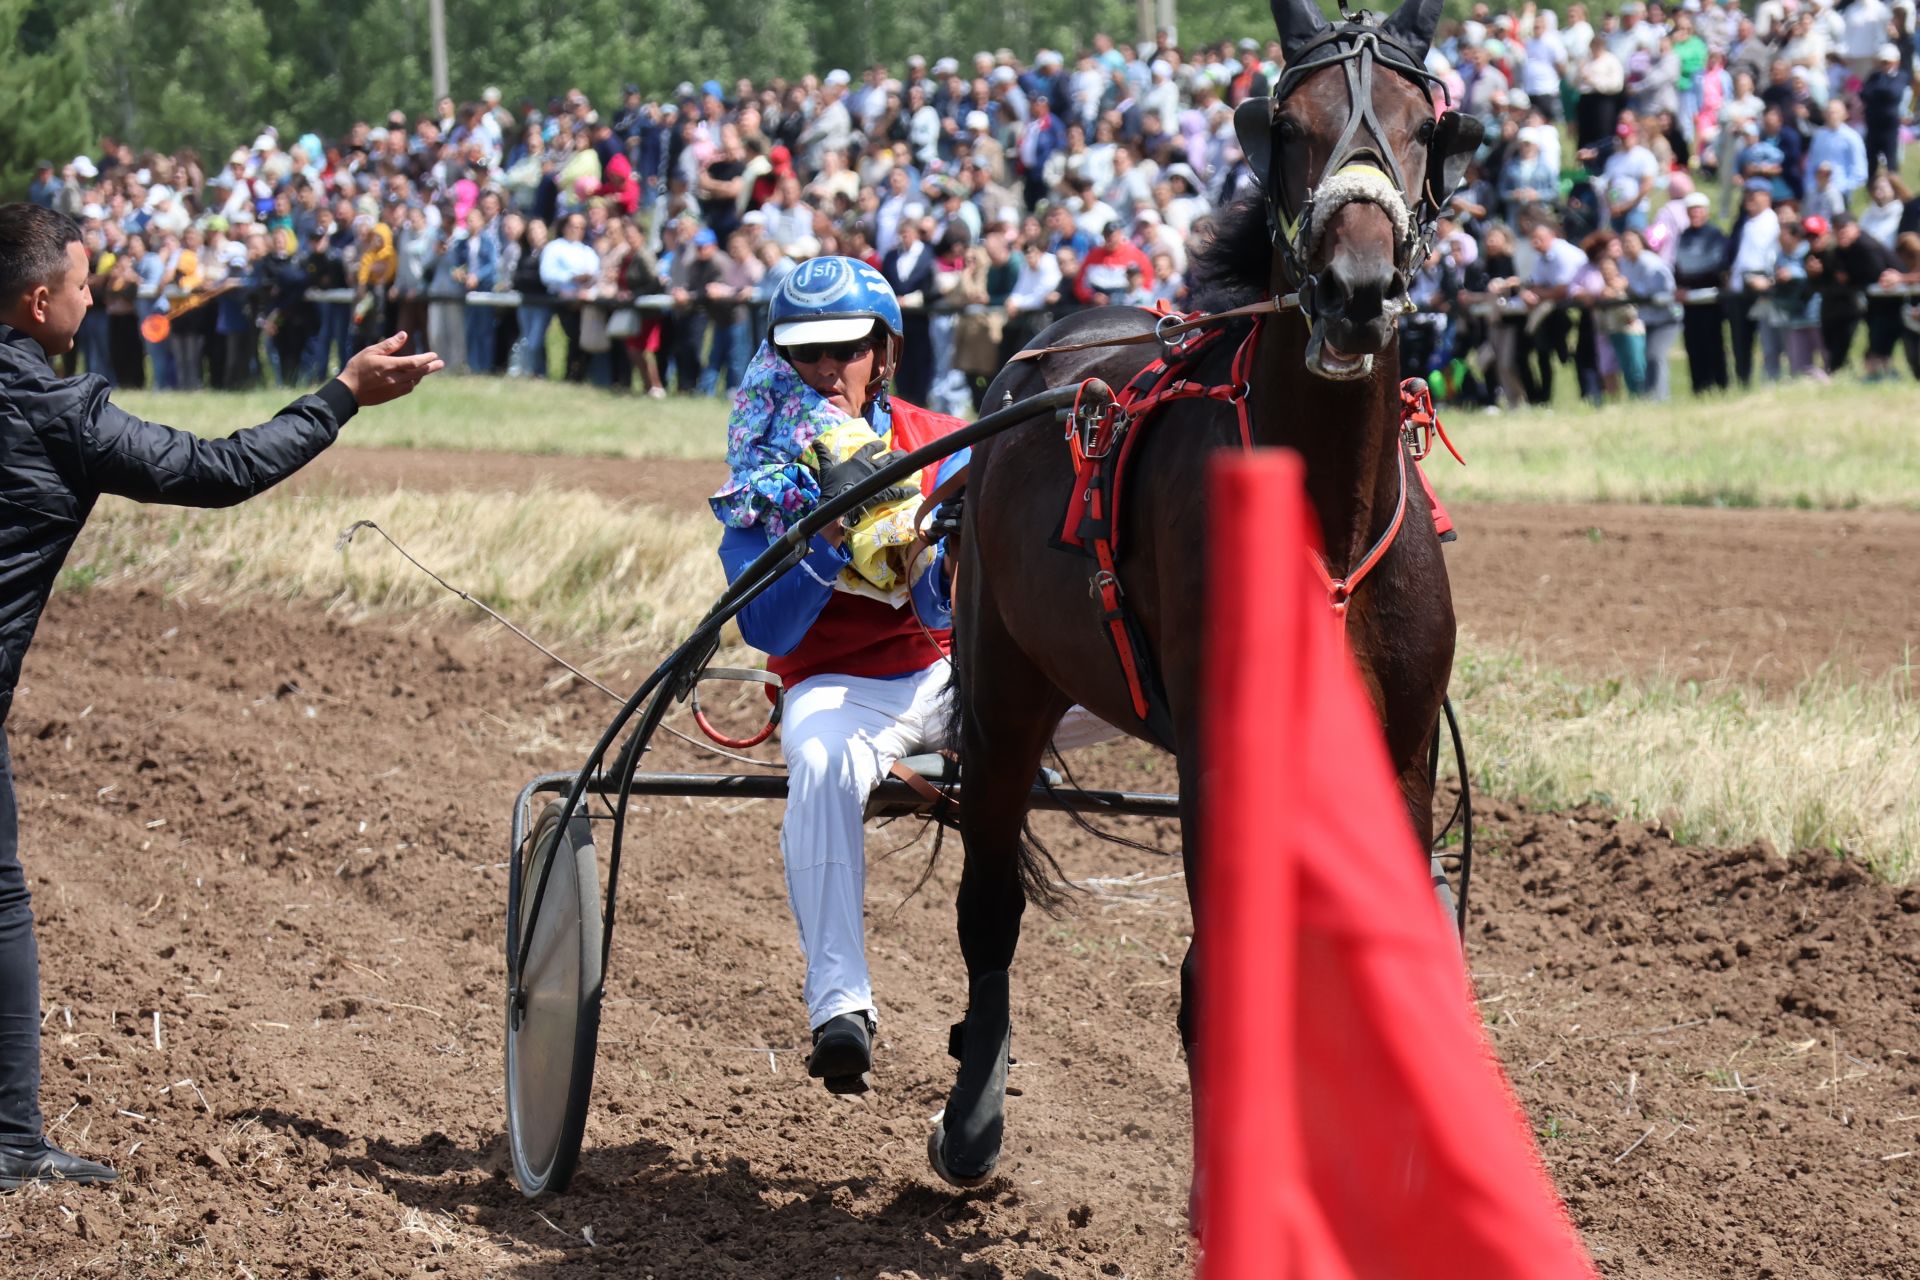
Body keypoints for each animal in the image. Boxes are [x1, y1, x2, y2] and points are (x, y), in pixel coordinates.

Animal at [929, 0, 1482, 1189]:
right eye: (1288, 123)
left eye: (1428, 127)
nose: (1357, 291)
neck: (1325, 515)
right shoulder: (1221, 761)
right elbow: (1215, 982)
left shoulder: (1400, 752)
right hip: (1002, 686)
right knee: (989, 900)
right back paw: (971, 1115)